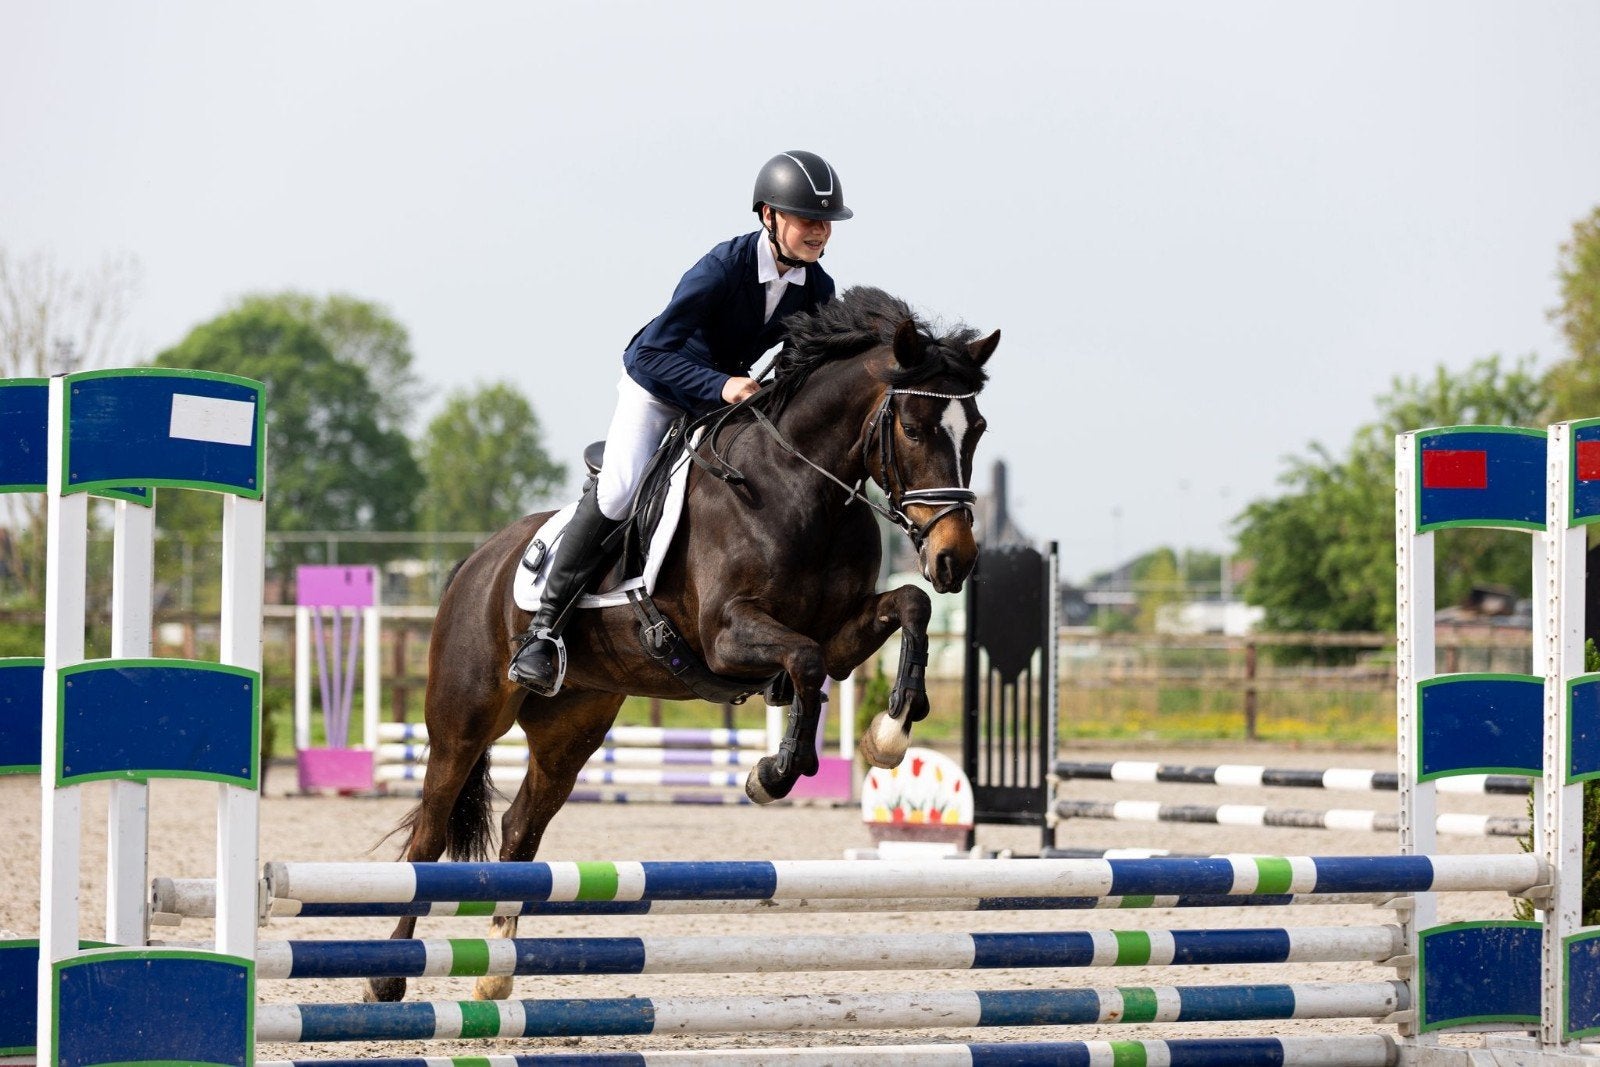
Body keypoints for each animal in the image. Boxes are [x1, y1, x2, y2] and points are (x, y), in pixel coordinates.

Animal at [368, 286, 998, 1003]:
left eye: (976, 429)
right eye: (915, 429)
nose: (954, 559)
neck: (799, 487)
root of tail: (476, 561)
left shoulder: (839, 634)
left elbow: (907, 609)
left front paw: (890, 732)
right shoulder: (728, 636)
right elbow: (804, 666)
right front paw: (773, 773)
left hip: (570, 725)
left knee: (523, 824)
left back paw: (496, 972)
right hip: (466, 717)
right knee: (429, 832)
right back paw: (388, 977)